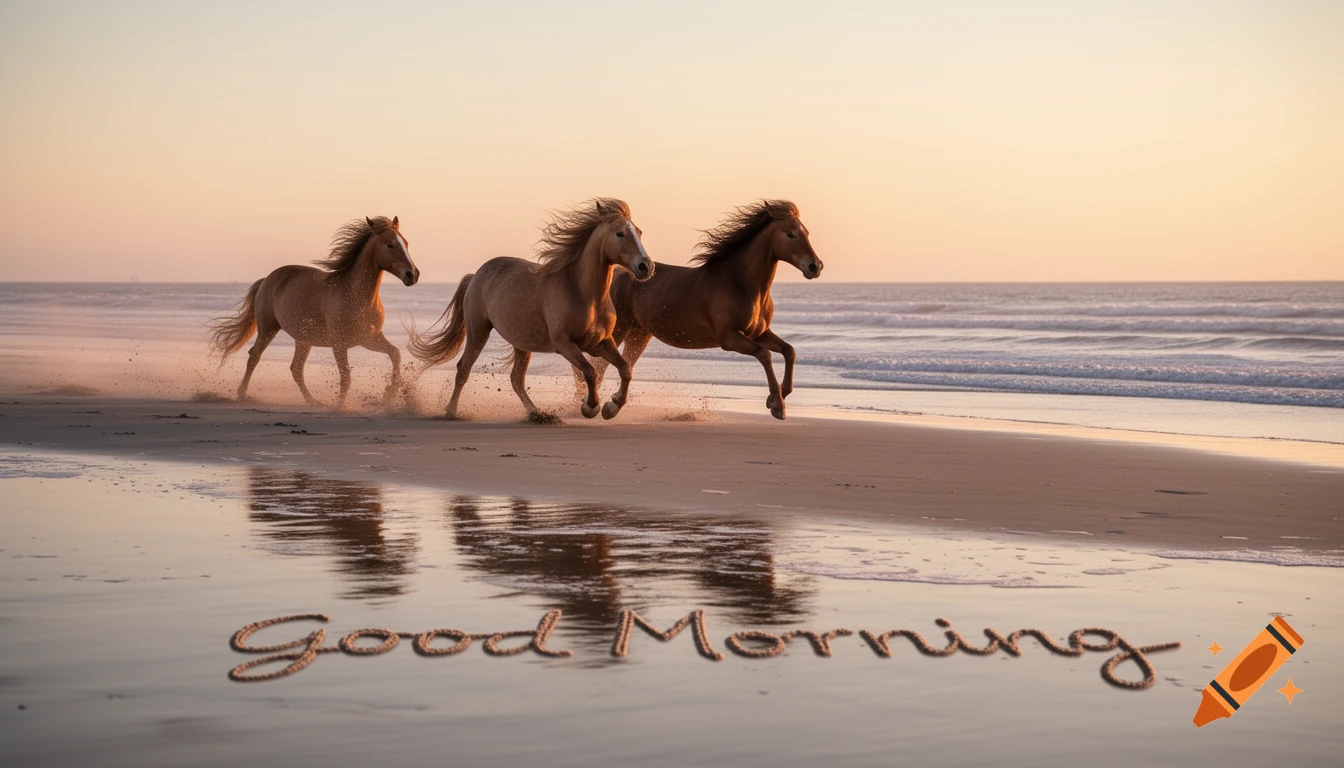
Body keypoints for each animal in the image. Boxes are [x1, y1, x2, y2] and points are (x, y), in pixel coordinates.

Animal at [209, 216, 420, 409]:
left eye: (406, 243)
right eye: (390, 244)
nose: (412, 275)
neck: (357, 297)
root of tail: (266, 280)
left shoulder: (369, 339)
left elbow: (395, 354)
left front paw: (389, 395)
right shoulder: (340, 344)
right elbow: (346, 376)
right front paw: (340, 406)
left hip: (303, 340)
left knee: (295, 368)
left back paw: (313, 402)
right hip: (268, 329)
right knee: (254, 356)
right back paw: (242, 394)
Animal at [408, 198, 653, 421]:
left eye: (639, 232)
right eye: (620, 233)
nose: (646, 267)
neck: (585, 295)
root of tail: (476, 275)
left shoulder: (602, 342)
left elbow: (625, 369)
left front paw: (612, 407)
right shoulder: (565, 345)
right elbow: (590, 373)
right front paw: (590, 407)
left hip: (521, 344)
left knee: (516, 380)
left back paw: (538, 414)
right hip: (478, 332)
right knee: (463, 370)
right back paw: (451, 411)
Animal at [587, 200, 822, 419]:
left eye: (806, 232)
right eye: (790, 234)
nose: (815, 266)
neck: (739, 284)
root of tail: (617, 274)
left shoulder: (760, 333)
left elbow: (789, 351)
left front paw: (779, 395)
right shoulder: (730, 337)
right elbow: (765, 355)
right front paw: (777, 404)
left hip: (639, 335)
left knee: (624, 365)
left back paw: (611, 406)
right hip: (619, 330)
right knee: (601, 366)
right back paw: (594, 406)